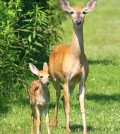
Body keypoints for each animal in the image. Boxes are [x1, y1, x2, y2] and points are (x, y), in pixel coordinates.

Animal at [48, 0, 96, 134]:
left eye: (84, 11)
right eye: (71, 12)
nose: (78, 20)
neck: (75, 58)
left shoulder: (82, 80)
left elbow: (82, 107)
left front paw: (85, 130)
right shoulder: (65, 79)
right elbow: (69, 107)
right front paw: (67, 130)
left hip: (72, 84)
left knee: (64, 98)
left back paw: (66, 124)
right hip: (55, 79)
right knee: (58, 96)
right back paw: (55, 123)